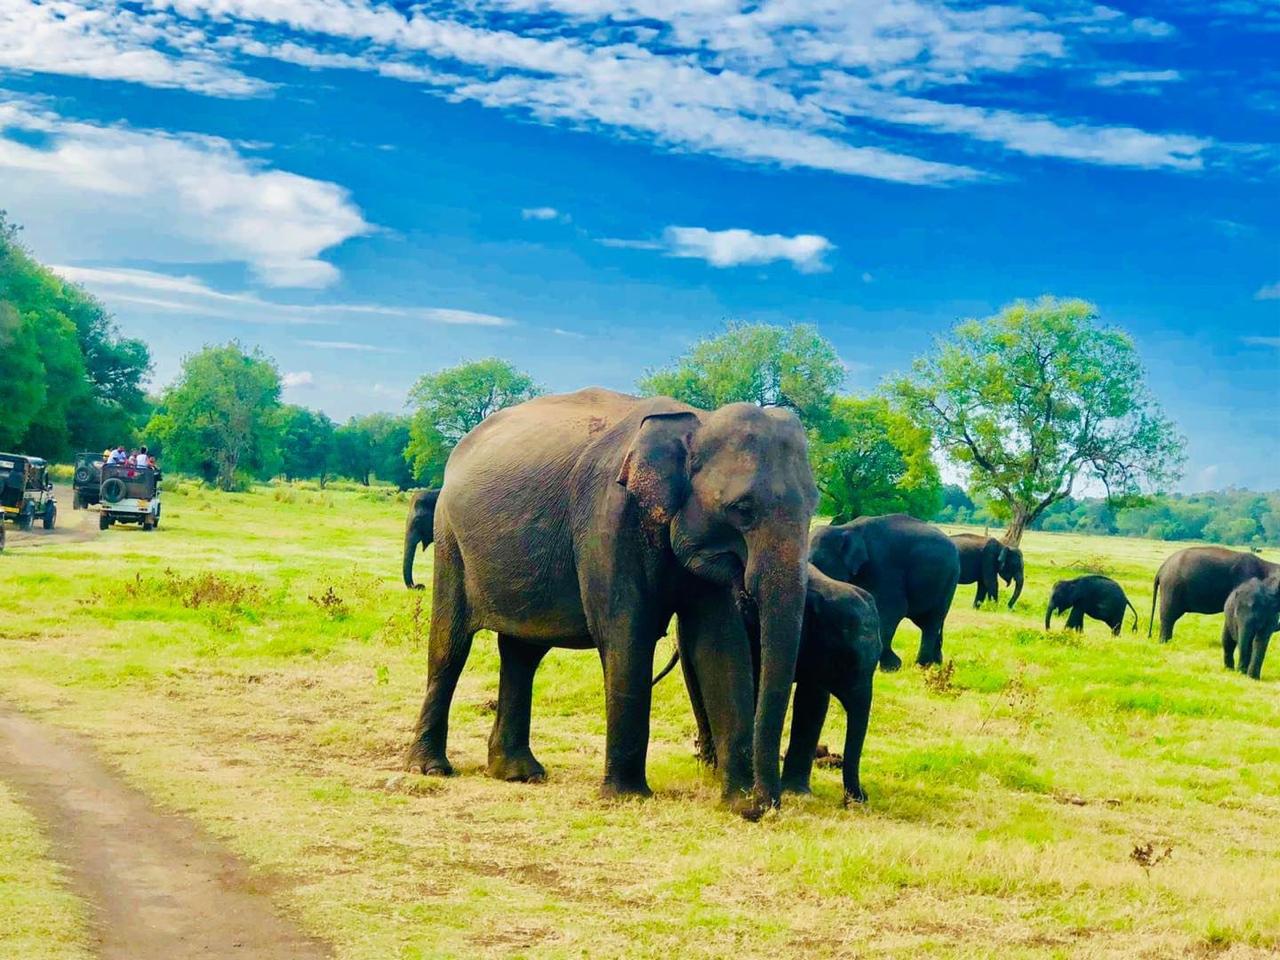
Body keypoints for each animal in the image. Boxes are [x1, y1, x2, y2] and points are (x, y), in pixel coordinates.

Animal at [405, 388, 818, 815]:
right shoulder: (608, 518)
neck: (697, 421)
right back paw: (431, 768)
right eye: (742, 509)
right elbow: (626, 634)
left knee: (523, 654)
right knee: (451, 646)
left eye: (814, 507)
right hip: (450, 538)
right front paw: (626, 796)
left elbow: (719, 644)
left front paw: (736, 804)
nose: (764, 803)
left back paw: (519, 773)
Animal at [809, 514, 959, 671]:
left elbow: (892, 609)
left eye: (814, 564)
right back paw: (936, 663)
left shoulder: (884, 566)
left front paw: (891, 667)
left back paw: (922, 665)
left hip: (948, 579)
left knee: (931, 620)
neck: (844, 528)